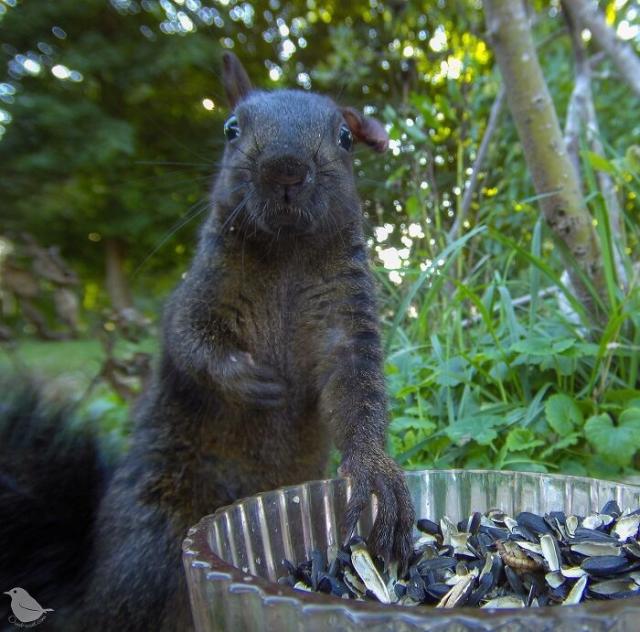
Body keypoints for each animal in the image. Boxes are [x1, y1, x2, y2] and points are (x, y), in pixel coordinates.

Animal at [0, 53, 414, 632]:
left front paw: (374, 472)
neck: (286, 254)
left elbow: (357, 393)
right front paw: (251, 381)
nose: (285, 168)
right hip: (152, 545)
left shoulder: (347, 324)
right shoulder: (195, 298)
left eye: (345, 138)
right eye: (230, 130)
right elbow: (190, 344)